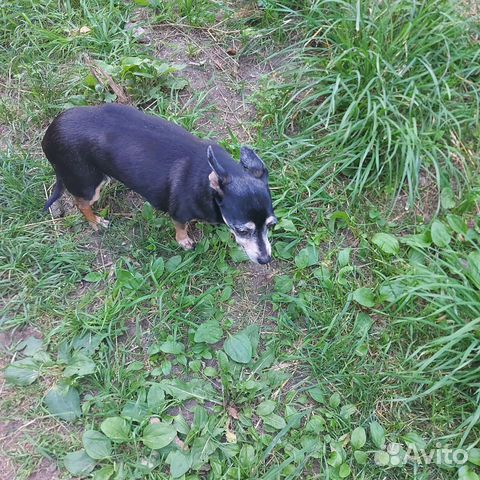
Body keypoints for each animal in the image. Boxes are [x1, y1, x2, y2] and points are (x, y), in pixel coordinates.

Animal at [43, 102, 276, 264]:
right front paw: (184, 241)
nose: (265, 260)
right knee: (80, 203)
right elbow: (180, 229)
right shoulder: (179, 215)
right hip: (90, 184)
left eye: (271, 225)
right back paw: (96, 222)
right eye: (242, 230)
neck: (207, 184)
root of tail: (48, 135)